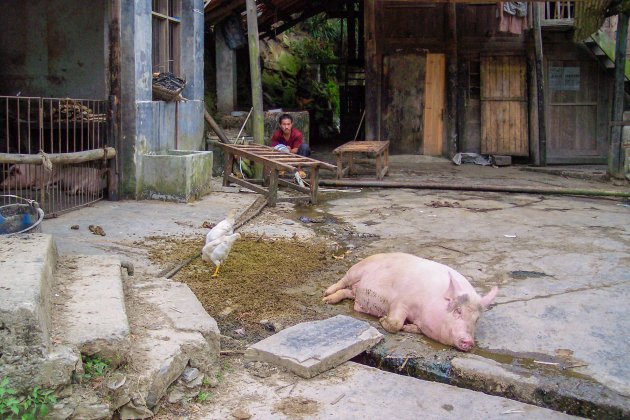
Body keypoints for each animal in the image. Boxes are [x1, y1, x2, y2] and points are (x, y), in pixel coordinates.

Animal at [326, 253, 498, 352]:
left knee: (348, 292)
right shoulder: (400, 301)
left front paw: (407, 327)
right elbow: (395, 323)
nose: (469, 341)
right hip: (356, 270)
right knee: (342, 281)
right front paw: (383, 320)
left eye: (476, 319)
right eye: (458, 311)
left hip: (357, 291)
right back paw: (326, 296)